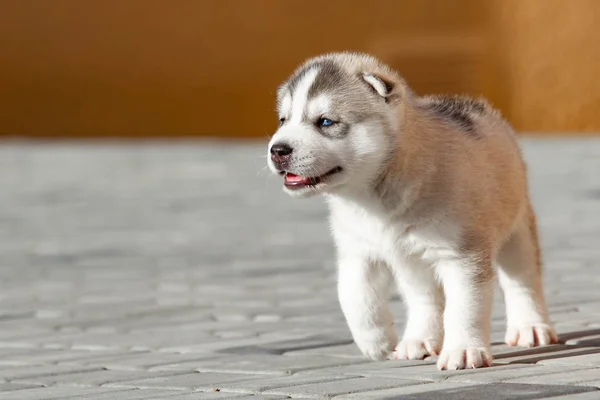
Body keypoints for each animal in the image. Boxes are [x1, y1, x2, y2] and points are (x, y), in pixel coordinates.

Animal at [264, 52, 556, 368]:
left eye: (326, 121)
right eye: (283, 119)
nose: (277, 150)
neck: (372, 196)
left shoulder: (462, 255)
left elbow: (464, 307)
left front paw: (463, 350)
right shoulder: (357, 251)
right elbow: (354, 297)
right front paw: (376, 343)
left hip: (516, 228)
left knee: (523, 280)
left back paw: (530, 327)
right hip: (412, 261)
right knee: (425, 299)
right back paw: (418, 339)